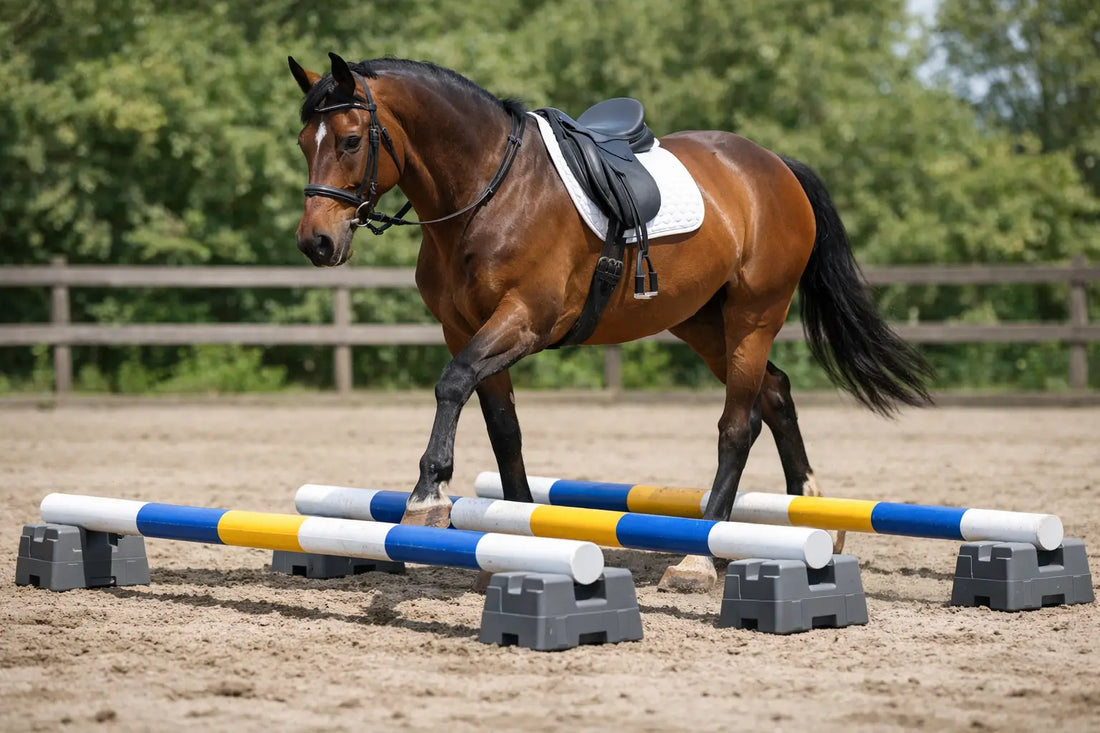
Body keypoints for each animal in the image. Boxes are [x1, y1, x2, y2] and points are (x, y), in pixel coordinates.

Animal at [289, 53, 931, 592]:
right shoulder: (465, 327)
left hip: (753, 316)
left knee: (737, 424)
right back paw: (811, 516)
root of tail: (775, 166)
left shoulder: (524, 320)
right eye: (302, 142)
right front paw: (518, 533)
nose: (316, 243)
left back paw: (699, 557)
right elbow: (504, 430)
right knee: (773, 393)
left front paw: (428, 496)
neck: (486, 192)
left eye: (350, 140)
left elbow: (452, 383)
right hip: (700, 321)